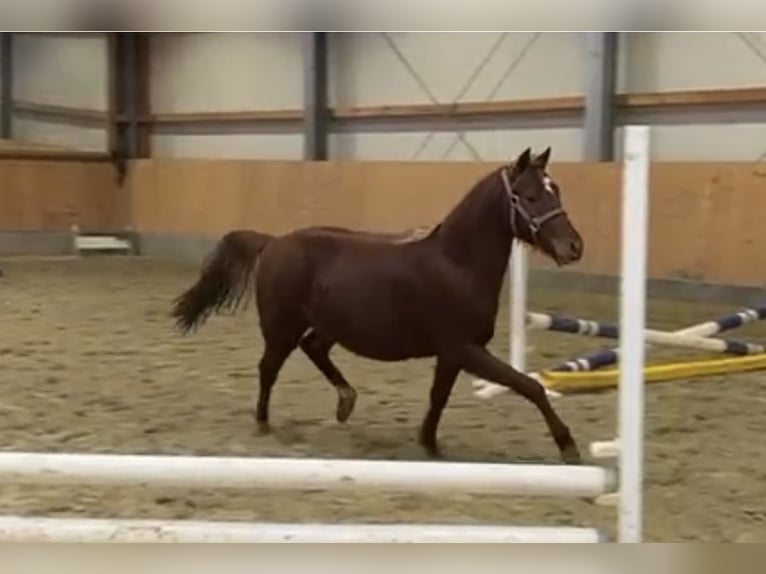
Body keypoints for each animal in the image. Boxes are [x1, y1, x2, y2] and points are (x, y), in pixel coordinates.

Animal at [171, 147, 584, 464]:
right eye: (529, 196)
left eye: (557, 190)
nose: (574, 247)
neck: (457, 264)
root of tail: (272, 242)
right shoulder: (465, 349)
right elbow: (530, 386)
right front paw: (569, 447)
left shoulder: (452, 354)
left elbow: (439, 397)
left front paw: (429, 444)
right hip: (281, 327)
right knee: (268, 368)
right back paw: (263, 423)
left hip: (328, 325)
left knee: (312, 348)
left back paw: (345, 401)